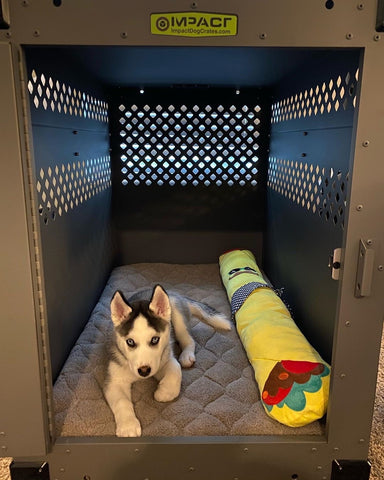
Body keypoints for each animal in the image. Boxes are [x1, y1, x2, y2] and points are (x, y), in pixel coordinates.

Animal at [103, 284, 231, 438]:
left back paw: (186, 356)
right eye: (130, 342)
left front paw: (165, 392)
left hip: (177, 318)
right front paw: (128, 426)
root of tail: (174, 293)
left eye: (155, 339)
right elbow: (121, 401)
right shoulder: (114, 379)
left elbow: (175, 367)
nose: (144, 371)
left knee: (189, 340)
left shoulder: (164, 357)